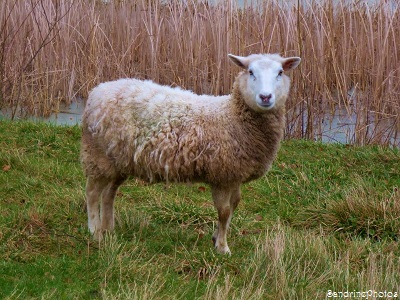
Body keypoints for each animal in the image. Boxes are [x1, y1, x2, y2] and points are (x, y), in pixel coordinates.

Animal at [81, 52, 300, 254]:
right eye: (251, 72)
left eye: (280, 73)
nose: (265, 97)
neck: (231, 116)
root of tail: (98, 91)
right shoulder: (221, 176)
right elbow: (224, 211)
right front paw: (222, 248)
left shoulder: (234, 174)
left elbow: (234, 205)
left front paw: (216, 238)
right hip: (98, 155)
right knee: (92, 192)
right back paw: (95, 231)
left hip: (119, 159)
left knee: (109, 193)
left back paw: (109, 229)